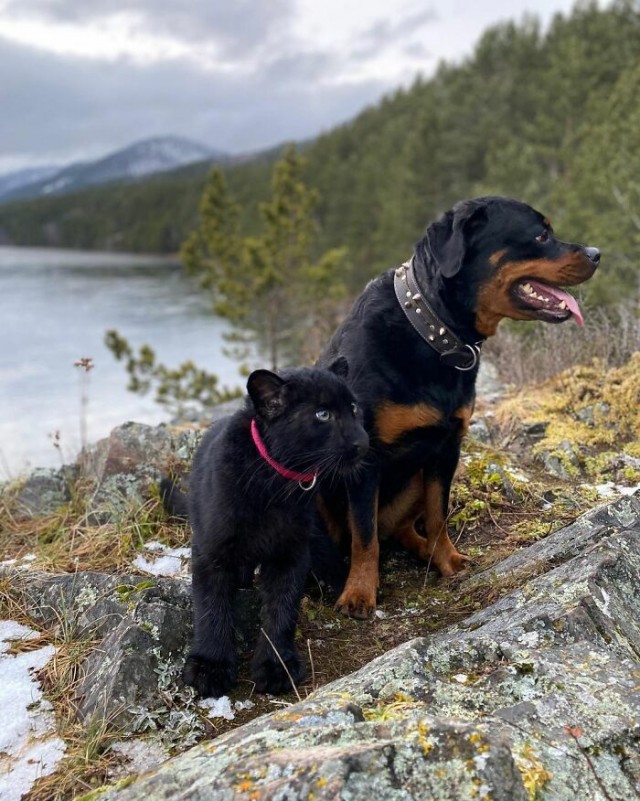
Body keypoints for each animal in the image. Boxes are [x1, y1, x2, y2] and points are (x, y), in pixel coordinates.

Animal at [318, 195, 604, 620]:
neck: (432, 329)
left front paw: (447, 561)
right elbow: (364, 535)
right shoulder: (364, 458)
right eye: (541, 235)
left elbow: (438, 515)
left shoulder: (446, 448)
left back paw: (421, 550)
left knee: (400, 529)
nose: (596, 253)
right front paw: (359, 592)